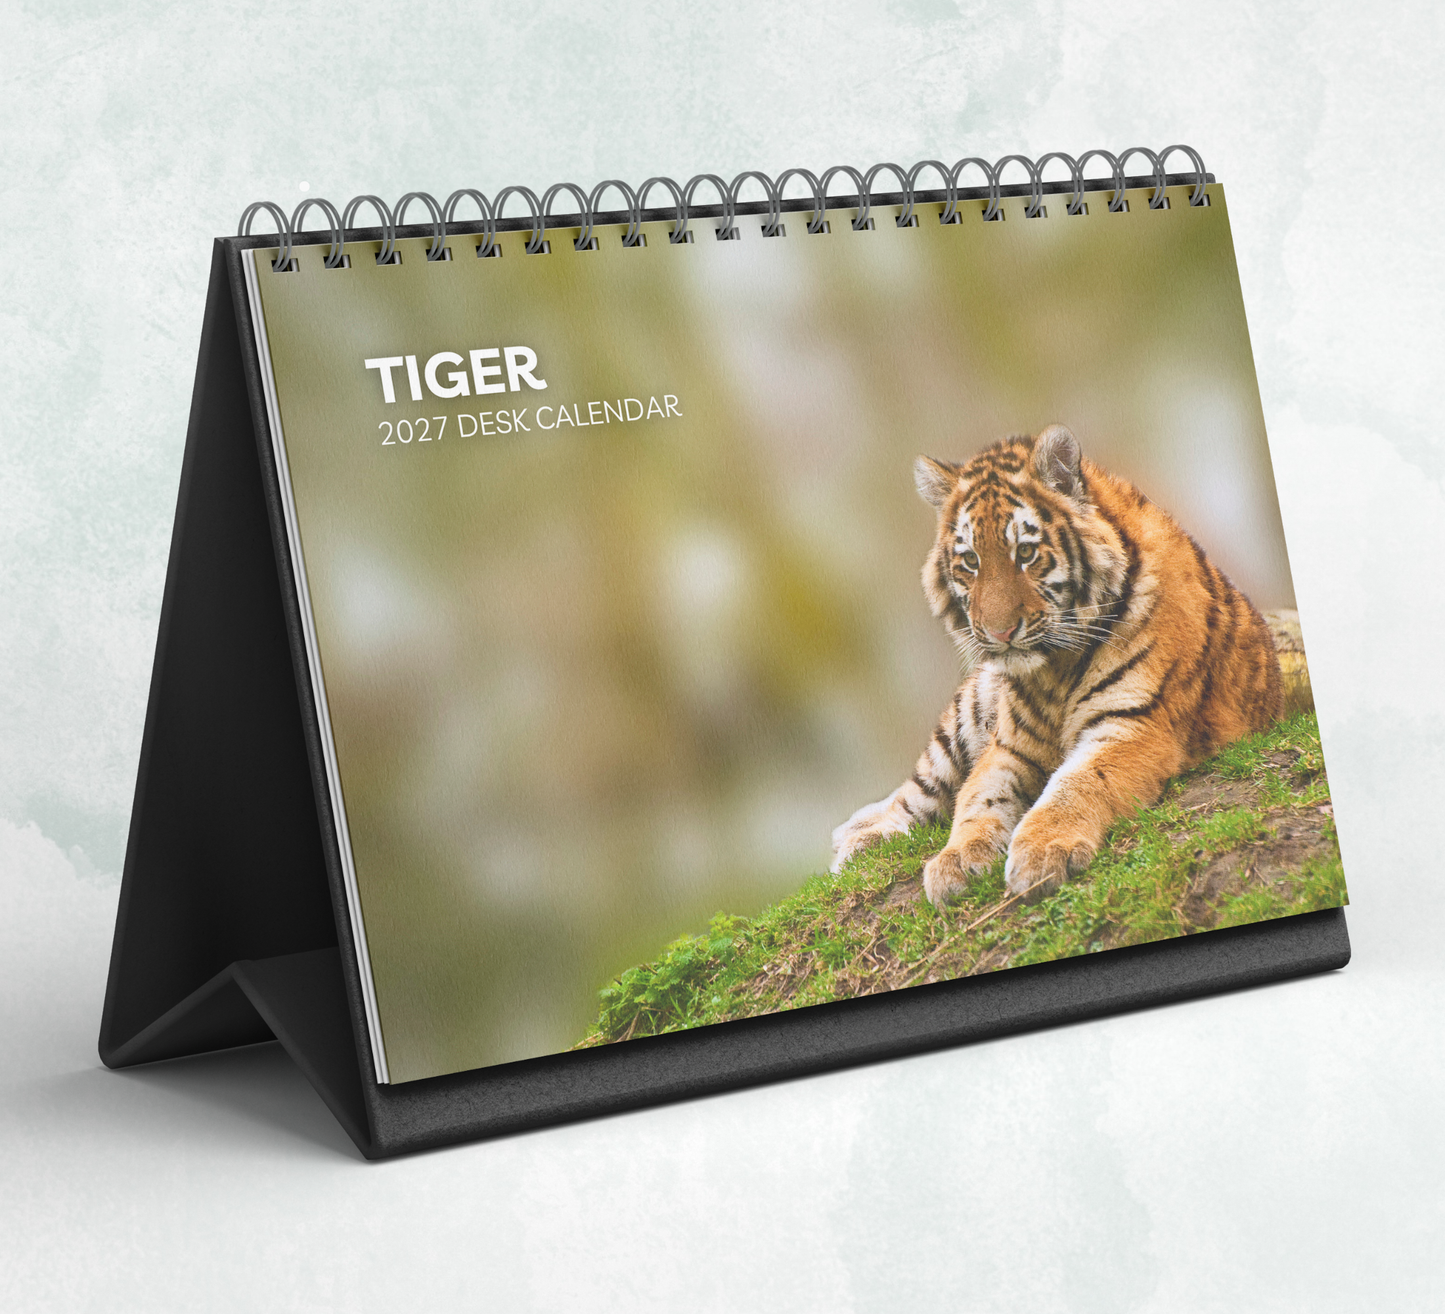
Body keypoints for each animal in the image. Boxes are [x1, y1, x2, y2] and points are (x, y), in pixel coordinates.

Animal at [831, 424, 1283, 908]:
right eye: (971, 561)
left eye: (1026, 553)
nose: (1000, 633)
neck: (1055, 669)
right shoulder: (1009, 747)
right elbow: (976, 799)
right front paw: (957, 859)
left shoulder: (1134, 726)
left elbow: (1076, 785)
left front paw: (1043, 852)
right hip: (965, 715)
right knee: (916, 794)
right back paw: (858, 839)